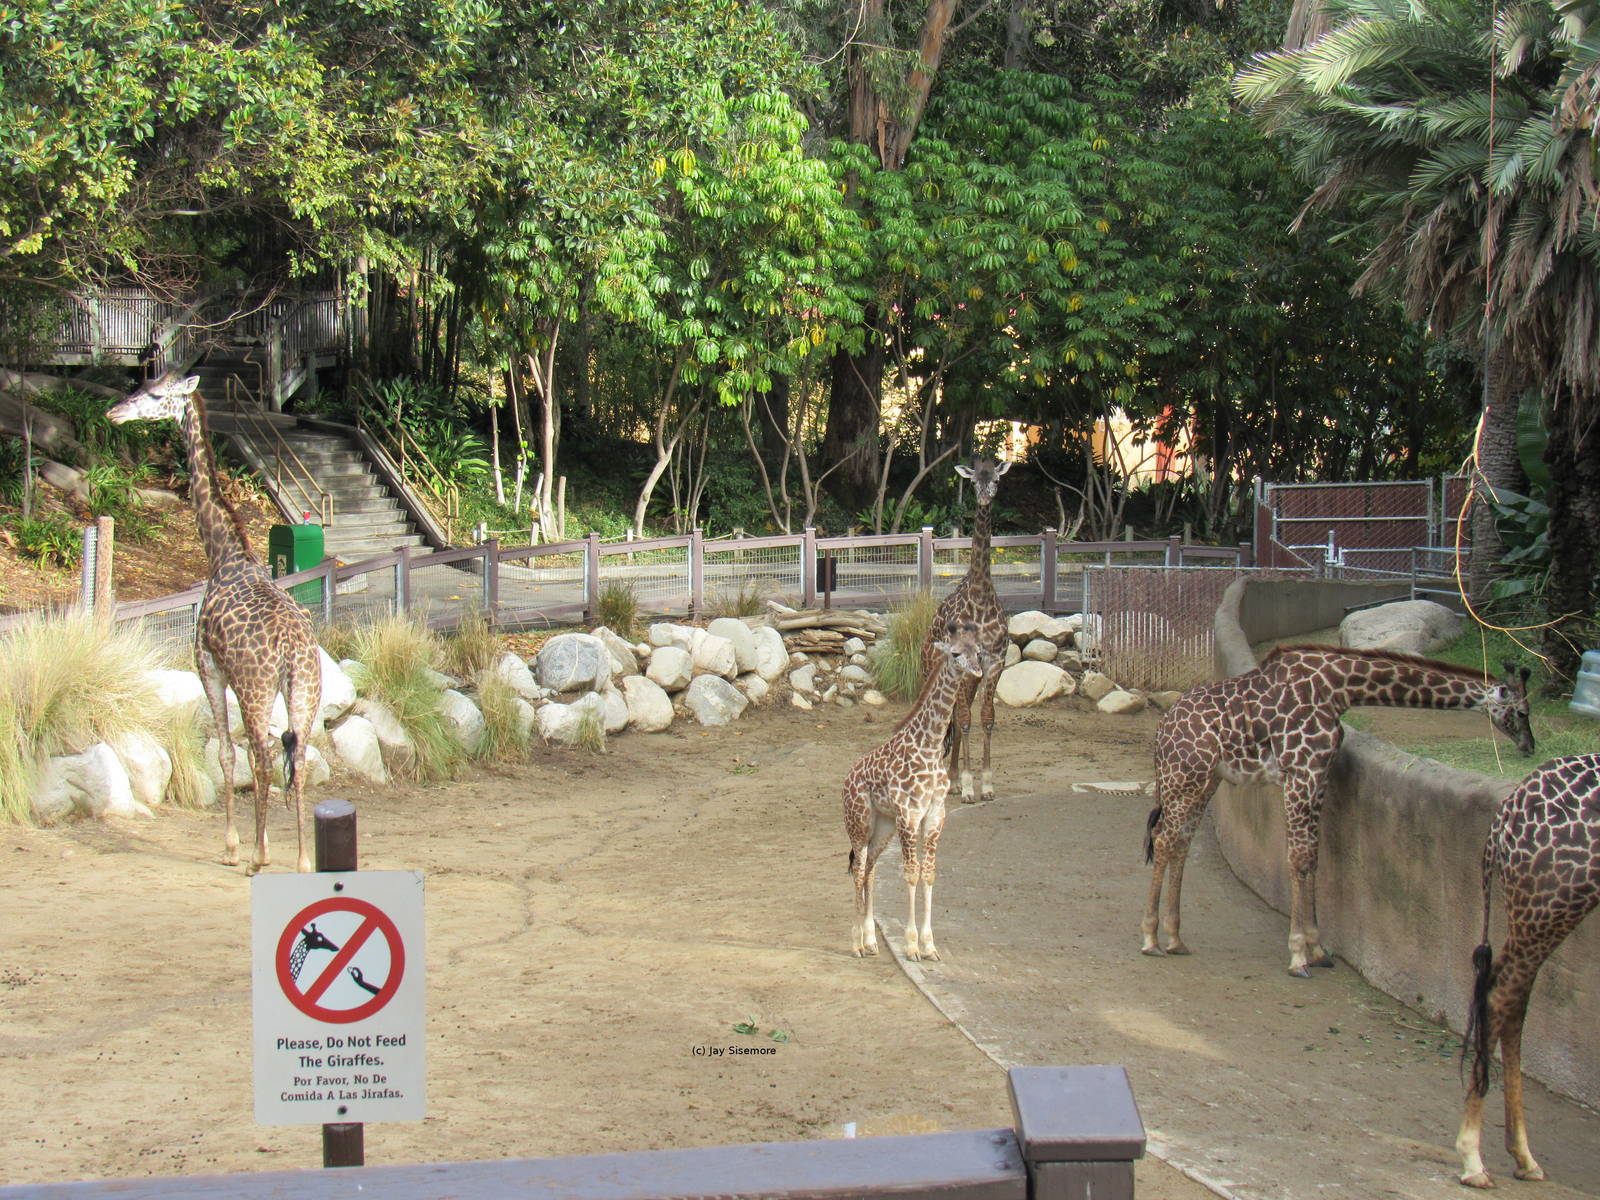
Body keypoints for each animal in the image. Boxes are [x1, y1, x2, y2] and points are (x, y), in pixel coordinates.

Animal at [108, 374, 322, 874]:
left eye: (153, 395)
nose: (114, 413)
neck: (223, 555)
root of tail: (291, 648)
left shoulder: (207, 665)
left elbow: (225, 754)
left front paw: (232, 847)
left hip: (255, 688)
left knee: (261, 756)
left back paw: (258, 858)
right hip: (305, 690)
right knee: (297, 757)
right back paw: (305, 861)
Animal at [845, 618, 999, 961]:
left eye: (978, 651)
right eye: (955, 653)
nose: (977, 671)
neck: (929, 746)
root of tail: (847, 778)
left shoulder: (934, 814)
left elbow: (928, 873)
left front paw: (930, 945)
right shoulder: (908, 814)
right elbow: (911, 872)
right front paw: (912, 945)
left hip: (883, 825)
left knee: (871, 869)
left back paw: (871, 941)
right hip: (859, 822)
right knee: (858, 869)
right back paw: (856, 943)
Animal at [920, 455, 1010, 803]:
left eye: (996, 480)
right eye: (973, 481)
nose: (984, 497)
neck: (981, 597)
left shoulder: (994, 661)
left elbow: (985, 718)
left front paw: (984, 784)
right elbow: (965, 719)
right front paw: (972, 786)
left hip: (968, 678)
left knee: (958, 719)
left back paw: (955, 779)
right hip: (932, 671)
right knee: (948, 718)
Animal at [1141, 645, 1534, 976]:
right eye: (1522, 710)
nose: (1530, 746)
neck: (1336, 688)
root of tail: (1161, 731)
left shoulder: (1320, 775)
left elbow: (1314, 858)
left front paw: (1317, 950)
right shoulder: (1301, 773)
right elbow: (1299, 859)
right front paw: (1298, 955)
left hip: (1206, 781)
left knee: (1180, 841)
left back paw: (1175, 939)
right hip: (1187, 778)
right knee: (1164, 839)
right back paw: (1150, 938)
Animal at [1456, 754, 1600, 1189]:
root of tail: (1505, 817)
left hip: (1536, 910)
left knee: (1509, 997)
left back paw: (1522, 1156)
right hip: (1550, 903)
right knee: (1500, 997)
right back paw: (1474, 1160)